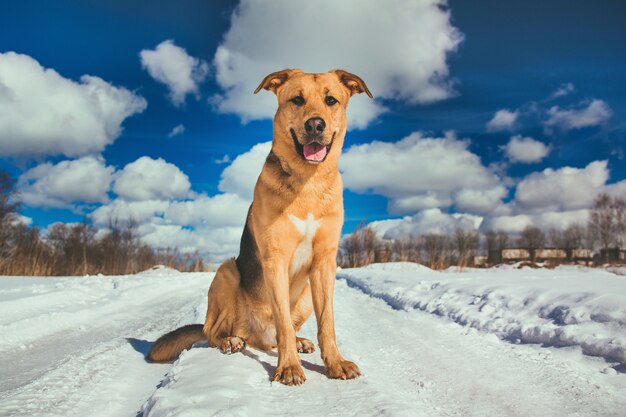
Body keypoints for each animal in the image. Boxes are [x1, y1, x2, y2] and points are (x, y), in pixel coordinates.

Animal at [146, 68, 370, 384]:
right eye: (297, 99)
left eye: (331, 100)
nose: (315, 125)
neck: (308, 183)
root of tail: (254, 335)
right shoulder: (275, 259)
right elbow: (284, 323)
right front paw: (288, 368)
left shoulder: (325, 262)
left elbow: (327, 322)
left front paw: (335, 363)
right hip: (226, 271)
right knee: (214, 331)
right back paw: (232, 341)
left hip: (304, 295)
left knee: (275, 336)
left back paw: (297, 342)